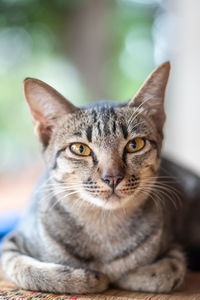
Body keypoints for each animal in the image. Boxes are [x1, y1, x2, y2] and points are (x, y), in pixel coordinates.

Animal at [0, 62, 199, 294]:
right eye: (80, 149)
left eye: (135, 144)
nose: (112, 177)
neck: (103, 226)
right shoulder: (11, 245)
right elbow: (31, 271)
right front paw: (86, 278)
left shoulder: (173, 246)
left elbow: (165, 272)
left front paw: (127, 275)